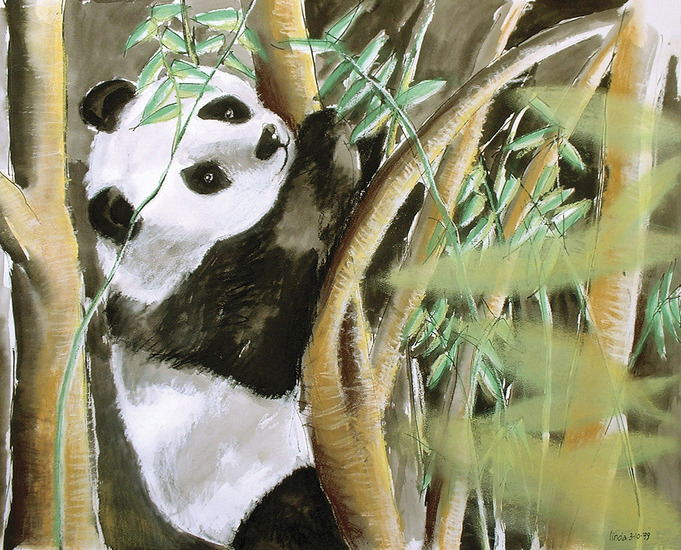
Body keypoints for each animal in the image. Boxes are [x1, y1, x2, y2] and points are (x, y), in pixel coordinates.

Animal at [79, 70, 373, 549]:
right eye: (207, 177)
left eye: (225, 110)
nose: (269, 141)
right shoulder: (183, 309)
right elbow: (262, 343)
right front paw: (331, 148)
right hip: (254, 493)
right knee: (291, 513)